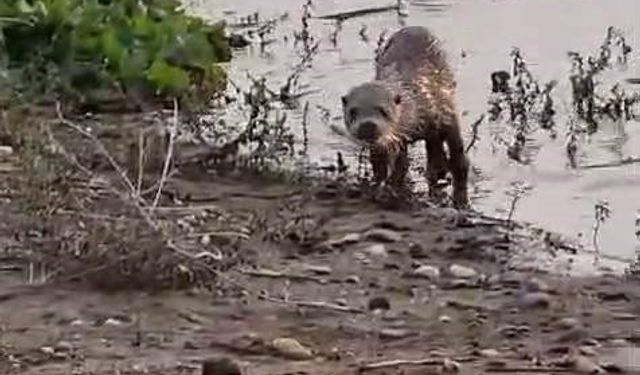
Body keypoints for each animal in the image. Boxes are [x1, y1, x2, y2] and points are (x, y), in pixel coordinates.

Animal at [340, 26, 470, 209]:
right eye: (353, 112)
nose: (367, 125)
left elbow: (458, 155)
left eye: (383, 110)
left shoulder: (446, 114)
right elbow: (389, 165)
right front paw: (384, 185)